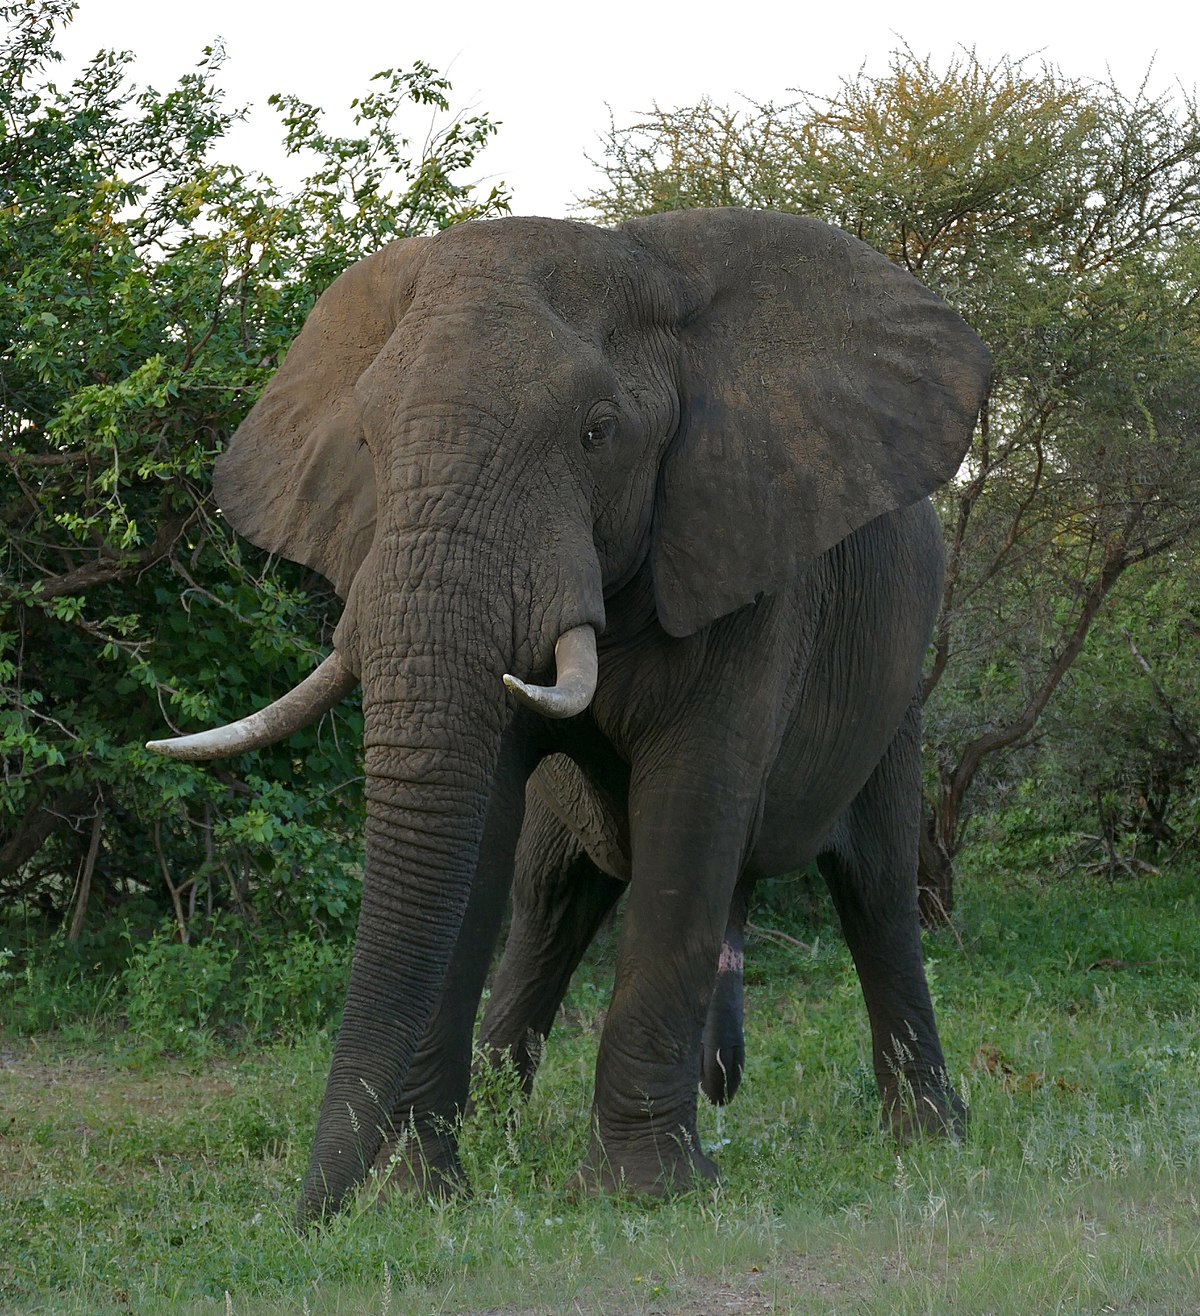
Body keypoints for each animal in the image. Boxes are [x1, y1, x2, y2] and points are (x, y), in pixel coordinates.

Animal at [150, 205, 989, 1221]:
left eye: (598, 432)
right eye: (366, 445)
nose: (307, 1223)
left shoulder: (744, 553)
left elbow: (692, 815)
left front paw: (644, 1194)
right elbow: (481, 832)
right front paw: (419, 1196)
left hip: (894, 684)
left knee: (876, 889)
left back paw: (930, 1140)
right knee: (550, 904)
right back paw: (503, 1134)